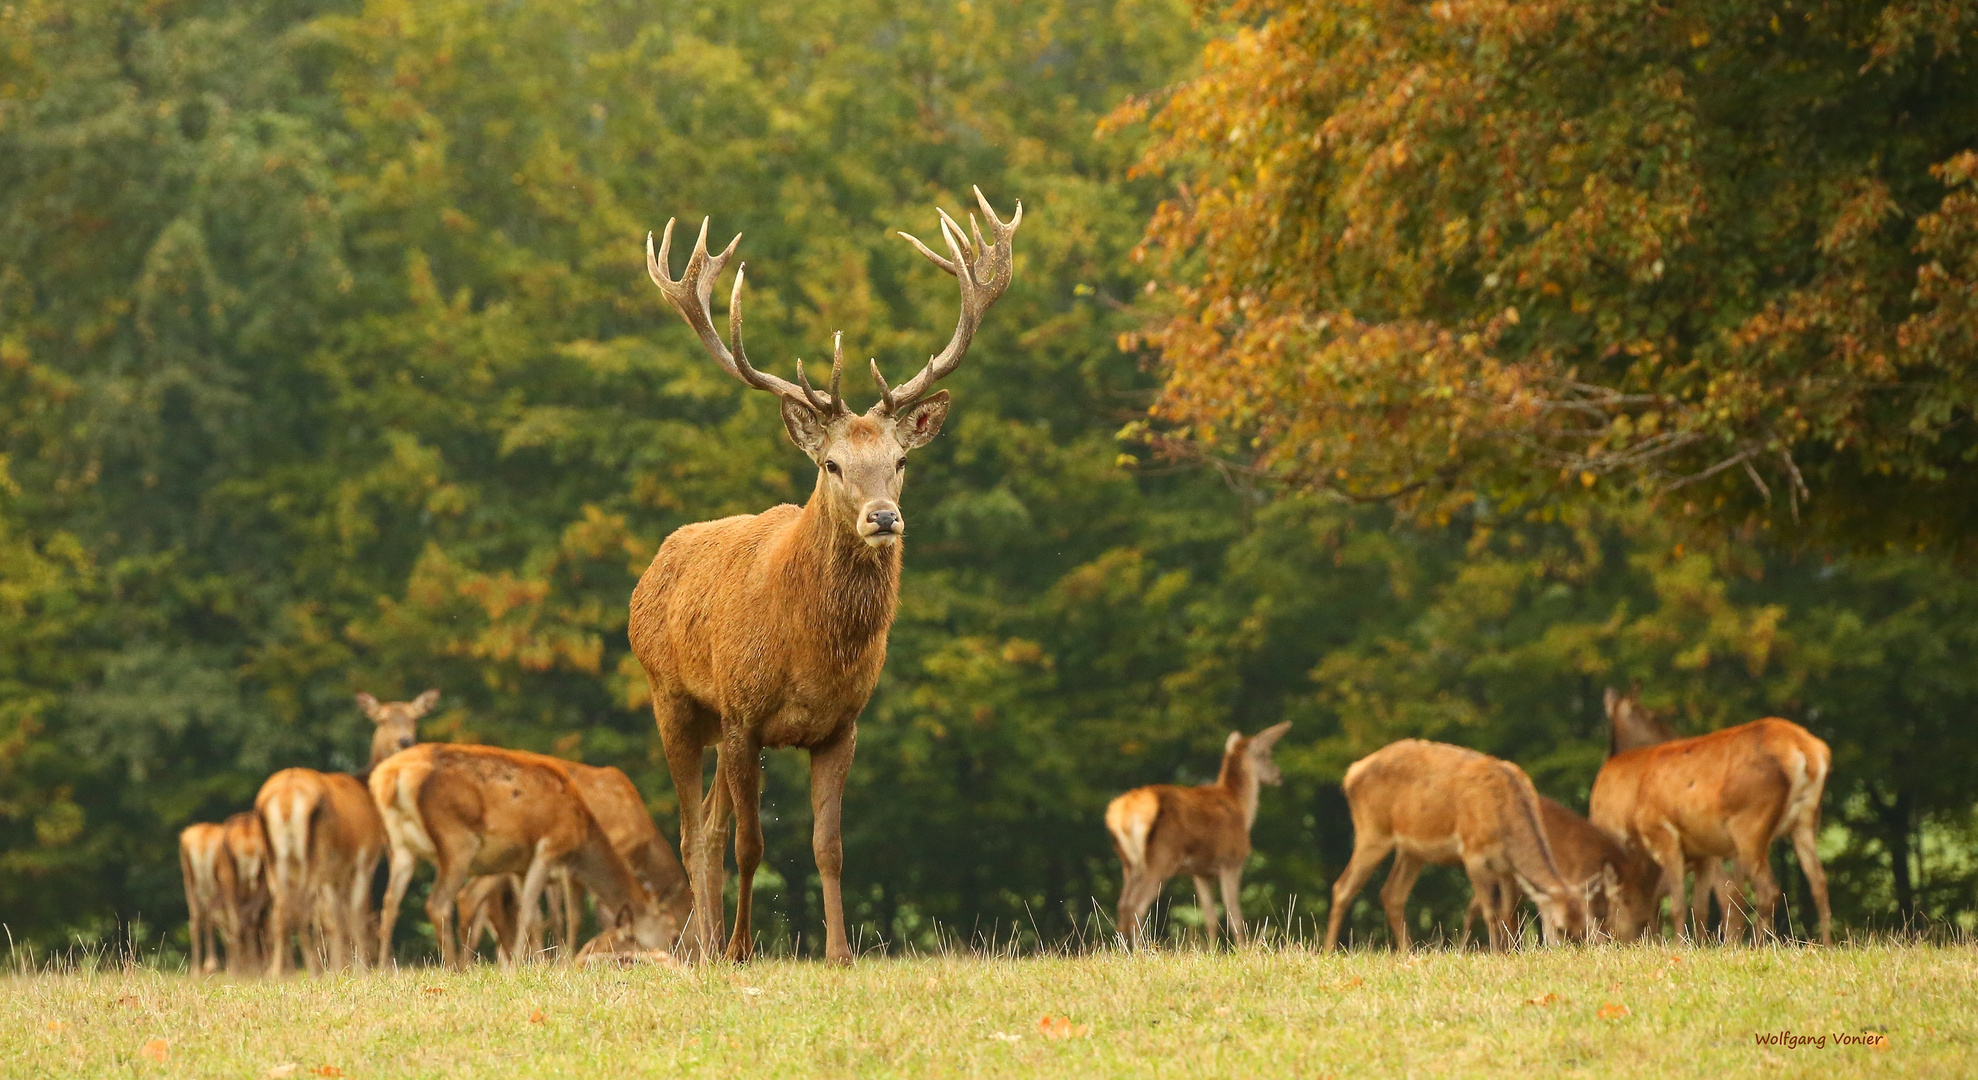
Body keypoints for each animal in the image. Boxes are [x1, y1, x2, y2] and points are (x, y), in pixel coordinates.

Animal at [369, 743, 672, 961]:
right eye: (670, 931)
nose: (670, 955)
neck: (582, 834)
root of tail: (390, 777)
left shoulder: (518, 864)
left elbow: (536, 917)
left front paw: (535, 963)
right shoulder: (549, 848)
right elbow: (535, 914)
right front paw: (525, 965)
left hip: (401, 847)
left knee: (389, 903)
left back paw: (384, 968)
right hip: (457, 840)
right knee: (439, 904)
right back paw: (454, 967)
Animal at [629, 184, 1020, 957]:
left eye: (899, 461)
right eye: (833, 464)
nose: (883, 517)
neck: (810, 649)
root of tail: (651, 569)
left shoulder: (843, 723)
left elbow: (827, 845)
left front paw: (839, 953)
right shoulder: (745, 712)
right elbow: (750, 845)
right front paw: (743, 948)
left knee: (707, 828)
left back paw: (697, 944)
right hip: (674, 699)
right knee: (692, 832)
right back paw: (711, 948)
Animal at [1107, 723, 1289, 941]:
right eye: (1266, 754)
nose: (1279, 775)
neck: (1242, 810)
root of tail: (1123, 812)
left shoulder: (1201, 872)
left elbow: (1210, 919)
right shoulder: (1231, 861)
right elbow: (1235, 917)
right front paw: (1243, 947)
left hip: (1129, 863)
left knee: (1123, 904)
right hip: (1161, 858)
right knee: (1137, 904)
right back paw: (1141, 946)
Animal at [1329, 735, 1590, 945]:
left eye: (1584, 926)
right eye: (1559, 927)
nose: (1570, 949)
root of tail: (1351, 774)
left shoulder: (1506, 869)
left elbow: (1510, 913)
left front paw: (1512, 951)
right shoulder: (1472, 852)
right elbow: (1490, 910)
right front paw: (1497, 952)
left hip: (1411, 851)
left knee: (1392, 894)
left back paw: (1408, 952)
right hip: (1372, 832)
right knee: (1342, 887)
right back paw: (1330, 950)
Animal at [1582, 684, 1827, 937]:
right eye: (1653, 716)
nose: (1674, 736)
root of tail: (1806, 750)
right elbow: (1694, 906)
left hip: (1747, 827)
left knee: (1754, 892)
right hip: (1803, 823)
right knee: (1816, 882)